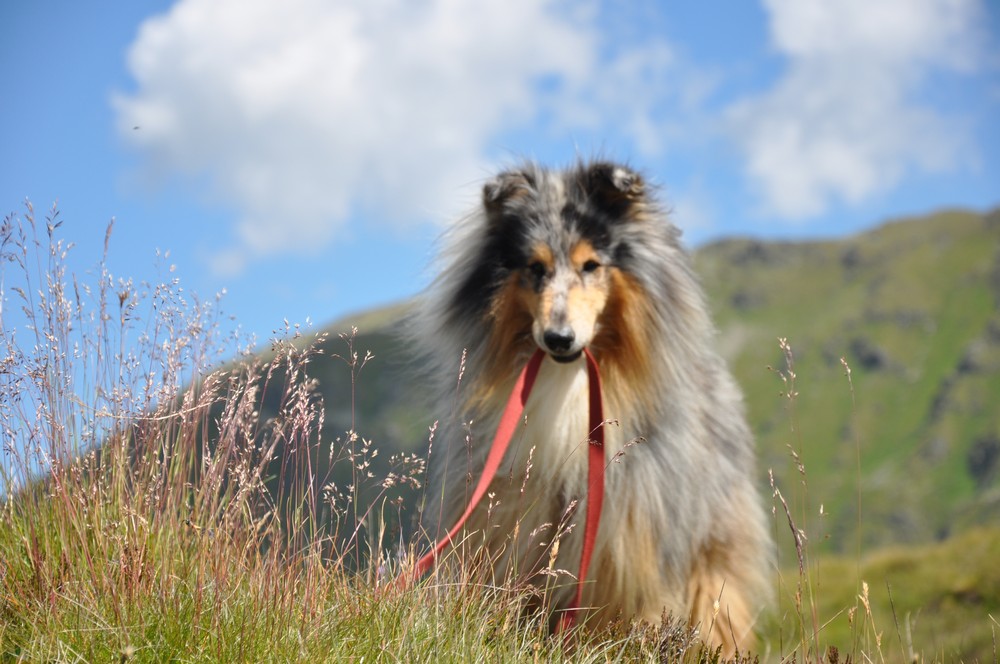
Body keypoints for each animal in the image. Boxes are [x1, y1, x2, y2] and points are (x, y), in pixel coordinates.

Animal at [410, 161, 768, 652]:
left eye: (591, 265)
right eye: (535, 268)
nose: (558, 339)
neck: (571, 381)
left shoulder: (627, 539)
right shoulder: (512, 517)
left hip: (709, 548)